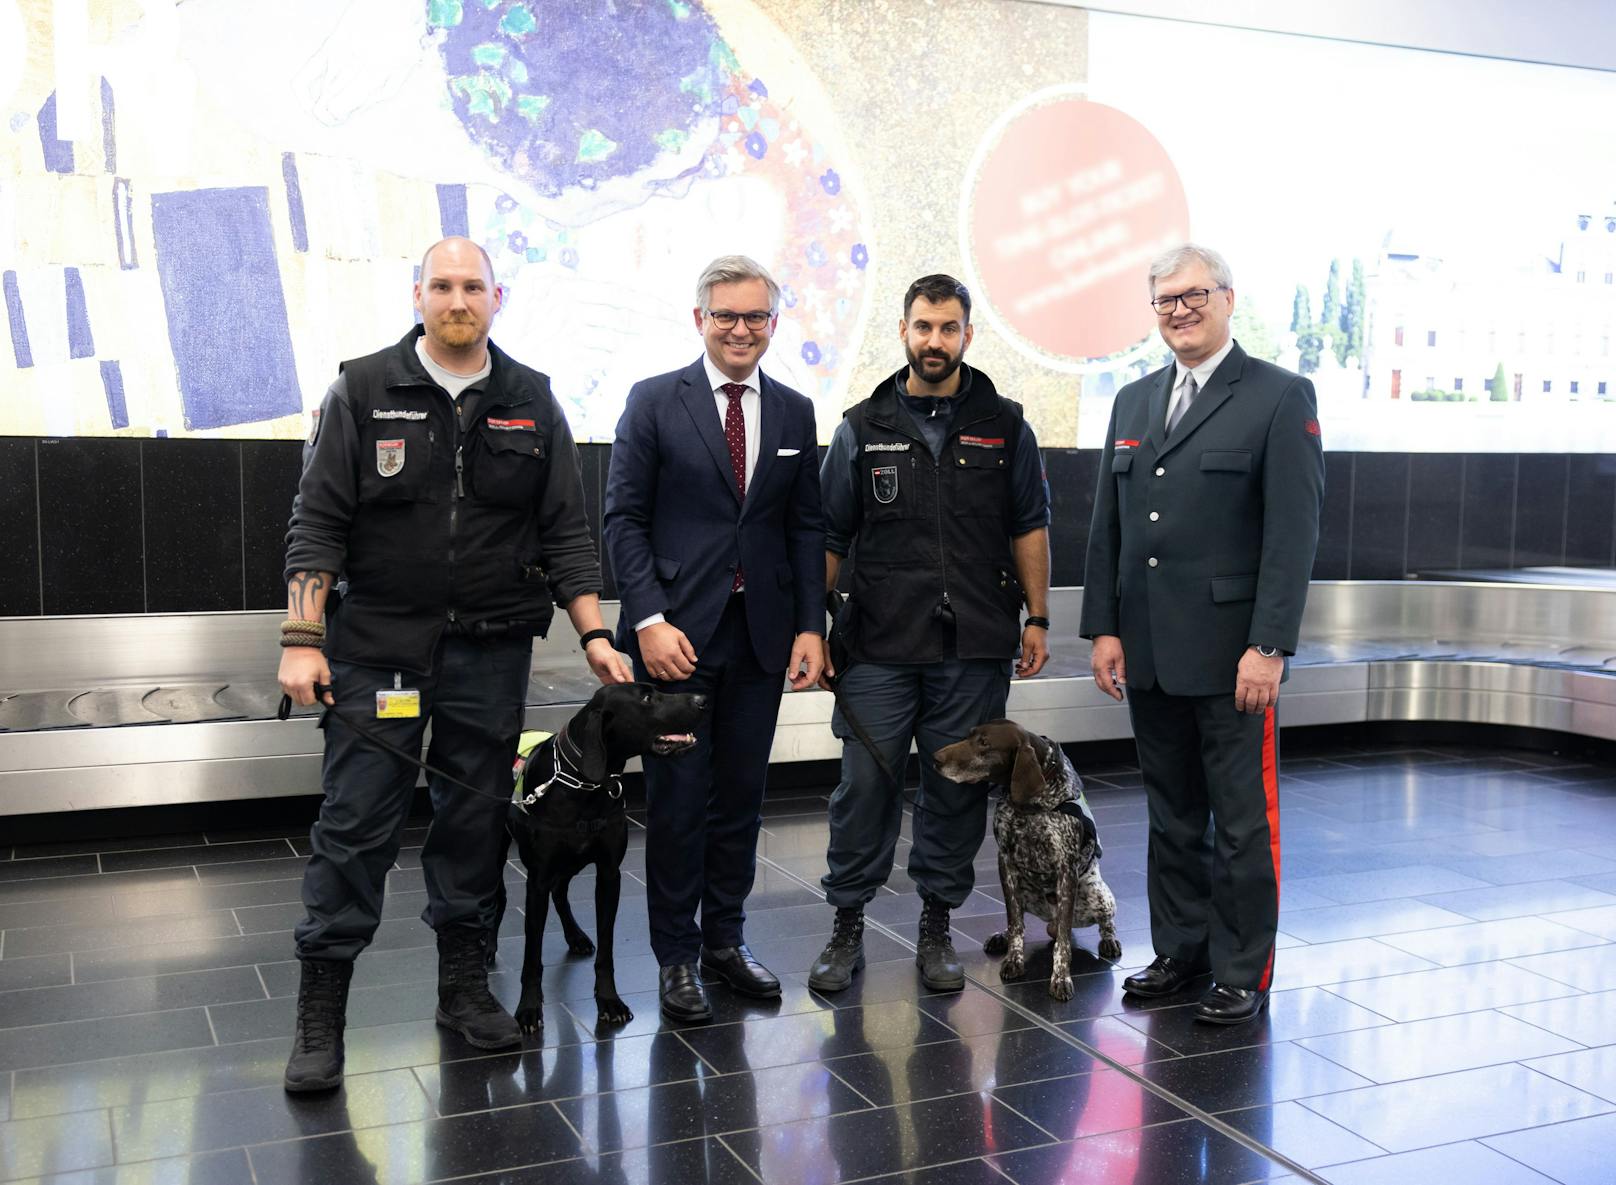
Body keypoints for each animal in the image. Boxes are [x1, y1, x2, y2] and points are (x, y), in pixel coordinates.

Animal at [500, 678, 704, 1028]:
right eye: (646, 698)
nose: (702, 699)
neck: (585, 784)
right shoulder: (536, 881)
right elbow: (532, 954)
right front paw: (528, 1007)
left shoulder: (609, 875)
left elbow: (607, 947)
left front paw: (609, 1000)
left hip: (570, 863)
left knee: (560, 891)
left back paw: (575, 936)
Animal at [937, 721, 1124, 995]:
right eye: (969, 736)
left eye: (985, 743)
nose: (935, 758)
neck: (1030, 804)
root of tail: (1050, 922)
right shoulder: (1005, 863)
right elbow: (1016, 924)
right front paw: (1014, 959)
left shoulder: (1066, 870)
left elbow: (1063, 942)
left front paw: (1061, 977)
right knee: (1020, 920)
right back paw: (1001, 937)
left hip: (1099, 894)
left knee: (1101, 923)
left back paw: (1109, 941)